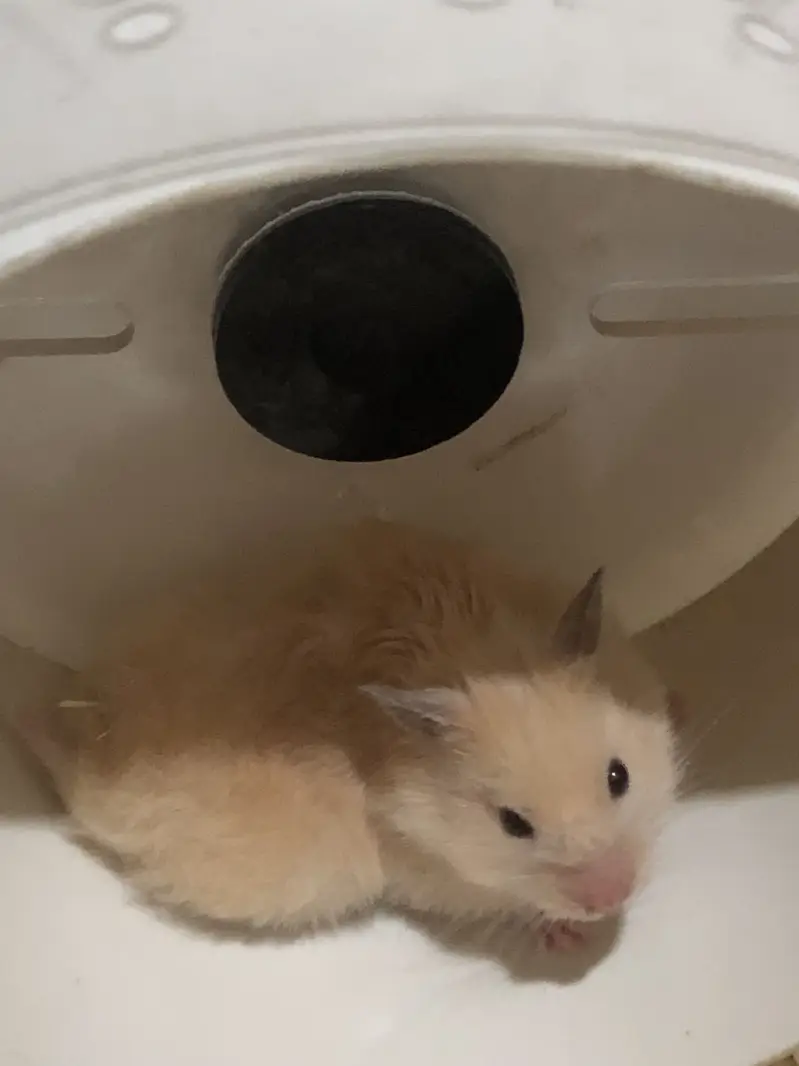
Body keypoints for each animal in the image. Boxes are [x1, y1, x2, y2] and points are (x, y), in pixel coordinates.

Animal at [19, 519, 680, 945]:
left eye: (618, 776)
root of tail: (78, 719)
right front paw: (567, 936)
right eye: (513, 823)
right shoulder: (426, 873)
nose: (612, 899)